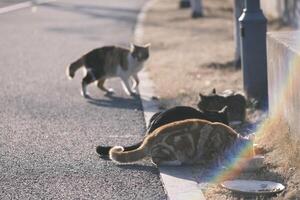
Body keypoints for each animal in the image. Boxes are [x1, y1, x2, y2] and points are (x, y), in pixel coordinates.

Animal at [109, 119, 254, 166]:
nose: (251, 157)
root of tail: (149, 137)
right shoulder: (211, 150)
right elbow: (215, 158)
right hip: (172, 148)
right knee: (156, 160)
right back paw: (177, 162)